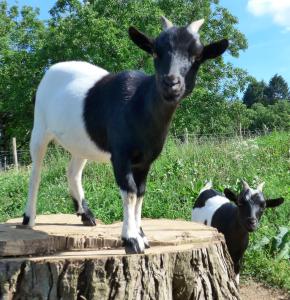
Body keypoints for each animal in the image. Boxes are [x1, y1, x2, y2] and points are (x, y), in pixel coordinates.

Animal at [22, 16, 229, 254]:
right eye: (155, 52)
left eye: (197, 56)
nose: (171, 82)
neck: (138, 104)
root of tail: (53, 69)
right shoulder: (120, 155)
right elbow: (129, 191)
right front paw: (131, 239)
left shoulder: (146, 160)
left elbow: (140, 193)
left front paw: (142, 234)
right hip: (40, 126)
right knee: (36, 172)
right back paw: (28, 218)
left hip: (81, 141)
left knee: (73, 171)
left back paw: (86, 215)